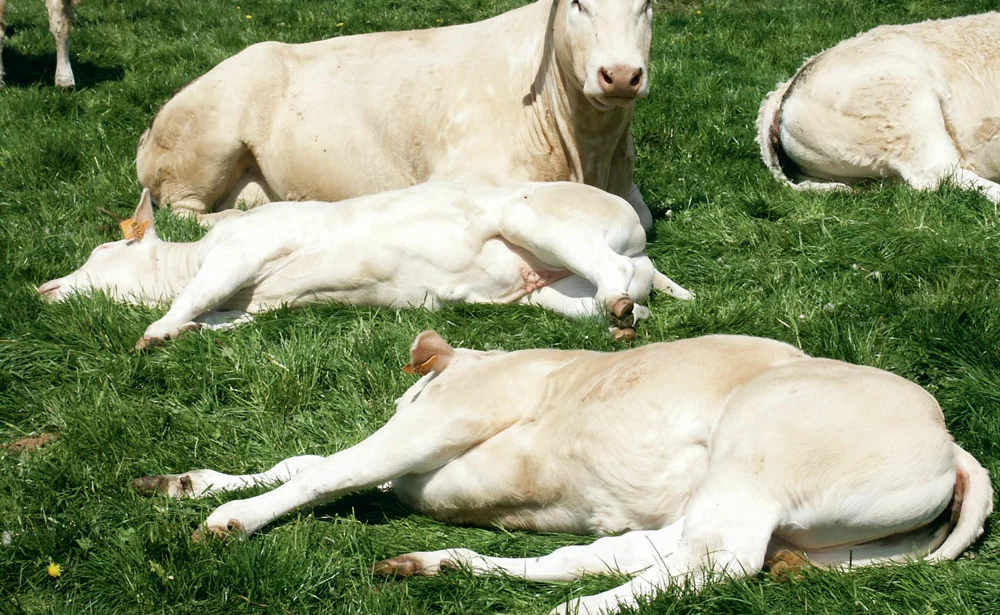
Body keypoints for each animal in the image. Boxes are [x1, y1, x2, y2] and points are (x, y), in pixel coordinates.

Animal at [35, 180, 692, 348]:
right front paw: (186, 332)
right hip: (554, 292)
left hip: (536, 220)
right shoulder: (255, 304)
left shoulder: (241, 252)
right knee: (627, 291)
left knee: (615, 274)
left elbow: (192, 296)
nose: (42, 289)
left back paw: (620, 307)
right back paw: (626, 319)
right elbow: (217, 317)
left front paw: (155, 332)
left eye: (100, 252)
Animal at [131, 332, 992, 615]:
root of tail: (950, 440)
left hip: (755, 454)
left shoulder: (440, 422)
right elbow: (308, 461)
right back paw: (437, 562)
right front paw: (188, 484)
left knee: (711, 565)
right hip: (743, 514)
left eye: (420, 392)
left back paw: (565, 612)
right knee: (608, 556)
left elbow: (326, 469)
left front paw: (230, 519)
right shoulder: (412, 459)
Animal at [137, 0, 660, 229]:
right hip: (203, 147)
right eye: (579, 4)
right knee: (187, 214)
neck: (588, 154)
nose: (620, 75)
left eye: (647, 4)